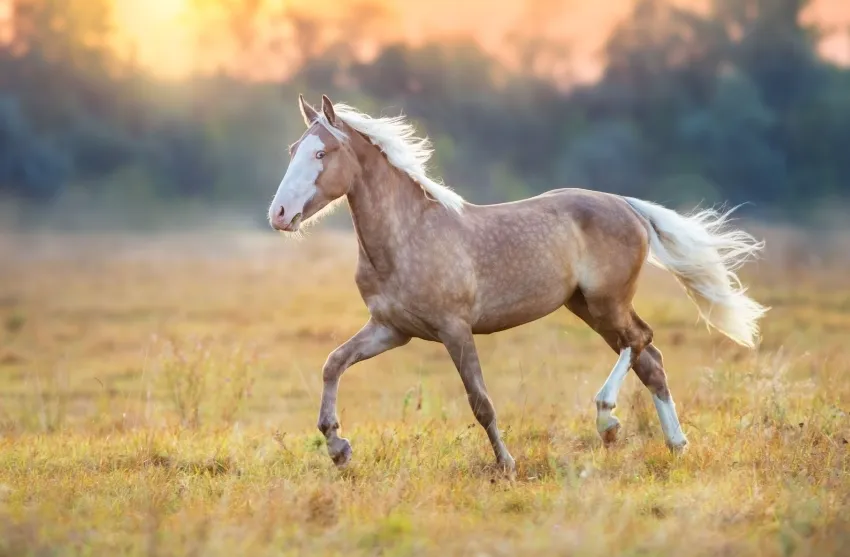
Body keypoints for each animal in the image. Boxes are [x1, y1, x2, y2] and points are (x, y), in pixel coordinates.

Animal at [266, 94, 768, 474]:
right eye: (291, 150)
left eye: (321, 153)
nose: (279, 215)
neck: (407, 235)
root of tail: (626, 205)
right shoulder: (392, 330)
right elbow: (333, 364)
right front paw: (338, 447)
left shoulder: (454, 329)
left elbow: (480, 401)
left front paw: (505, 464)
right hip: (586, 307)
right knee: (652, 361)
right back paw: (675, 445)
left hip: (606, 303)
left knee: (640, 340)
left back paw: (607, 420)